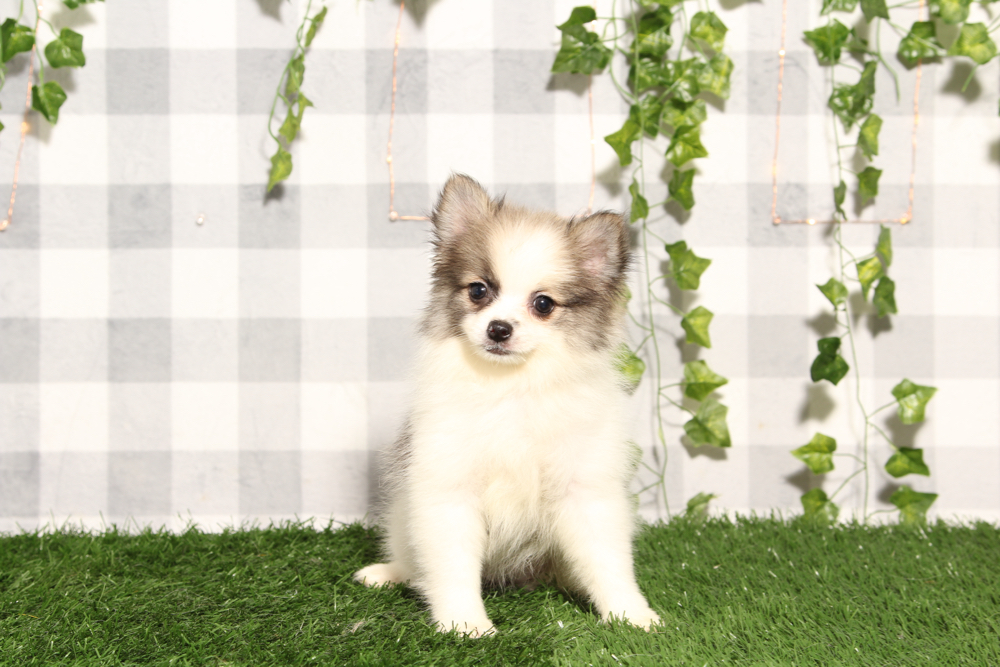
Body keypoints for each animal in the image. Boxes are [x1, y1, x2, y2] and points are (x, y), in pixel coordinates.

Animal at [354, 175, 659, 637]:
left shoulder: (584, 489)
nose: (499, 329)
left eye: (543, 304)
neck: (513, 387)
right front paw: (465, 623)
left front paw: (631, 614)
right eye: (479, 290)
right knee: (412, 560)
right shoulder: (448, 487)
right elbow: (452, 566)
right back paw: (387, 573)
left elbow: (608, 562)